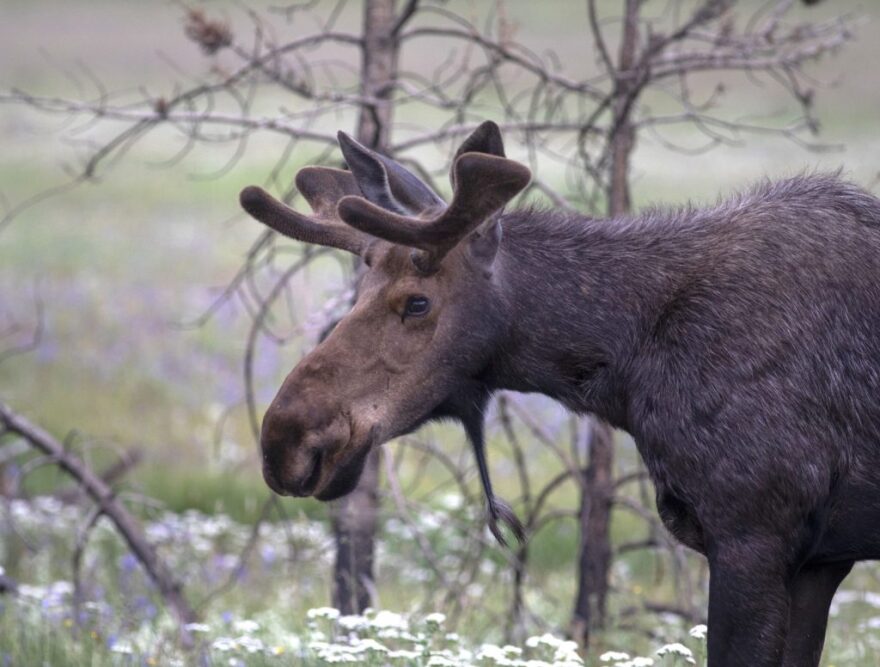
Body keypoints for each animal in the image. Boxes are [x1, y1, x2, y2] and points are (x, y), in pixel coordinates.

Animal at [239, 121, 880, 667]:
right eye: (361, 287)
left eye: (416, 302)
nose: (285, 438)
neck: (632, 367)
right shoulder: (818, 561)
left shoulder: (754, 536)